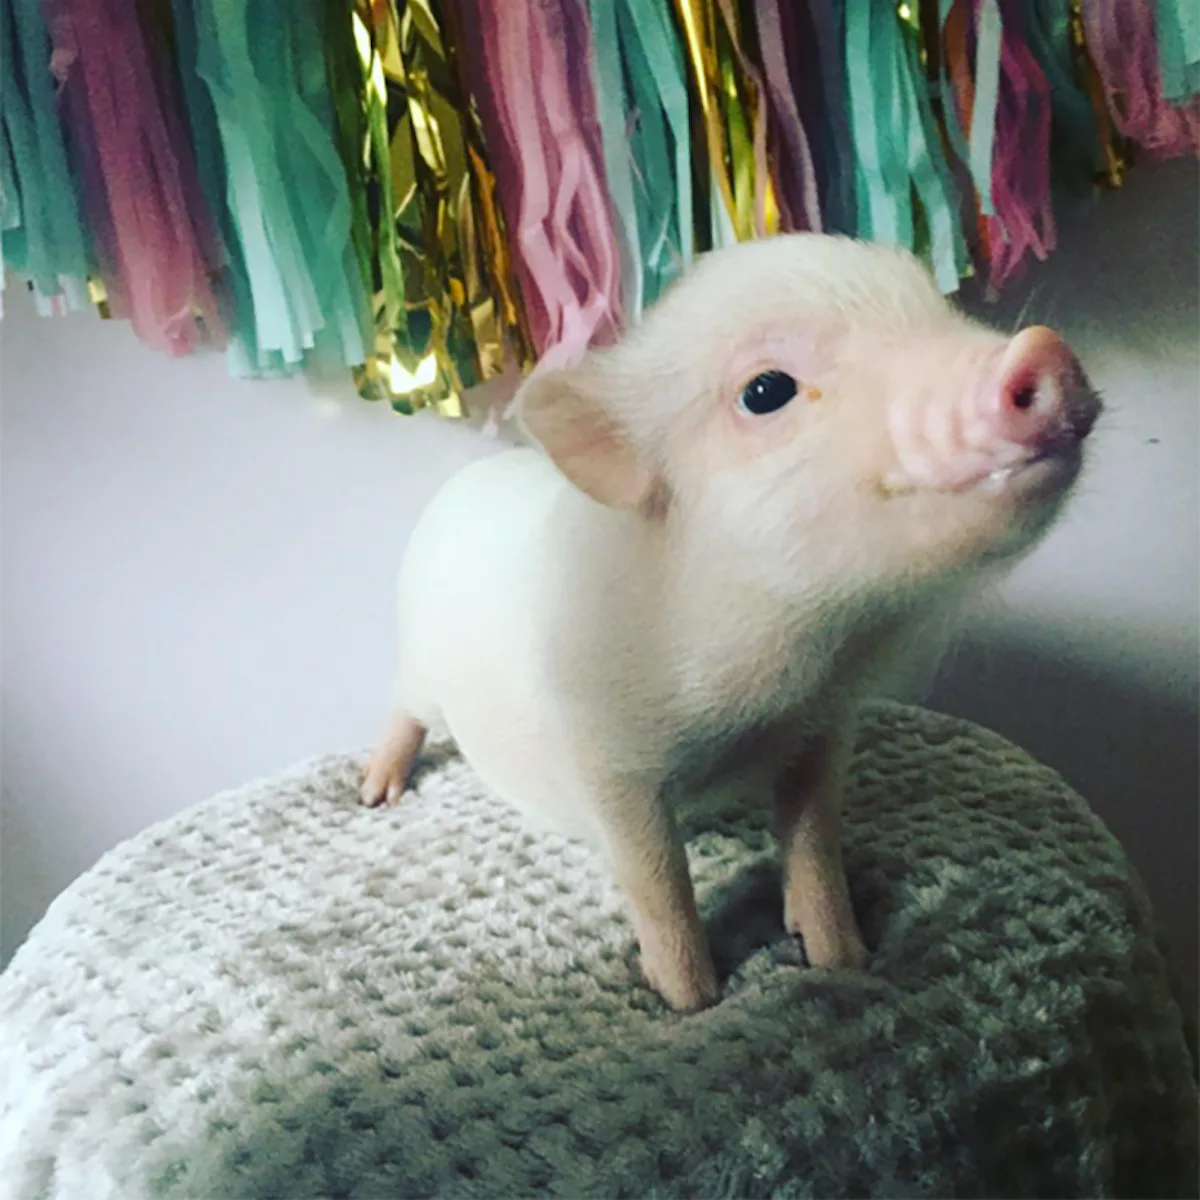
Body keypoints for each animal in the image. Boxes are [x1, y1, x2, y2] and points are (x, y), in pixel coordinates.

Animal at [361, 233, 1101, 1013]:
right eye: (765, 391)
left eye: (941, 308)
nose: (1042, 348)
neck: (785, 676)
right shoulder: (609, 758)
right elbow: (657, 882)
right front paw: (692, 1003)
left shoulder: (823, 727)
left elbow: (813, 842)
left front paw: (845, 961)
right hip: (418, 659)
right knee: (402, 707)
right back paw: (374, 793)